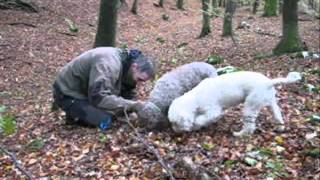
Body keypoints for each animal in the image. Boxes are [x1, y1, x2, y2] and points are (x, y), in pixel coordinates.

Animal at [169, 71, 302, 136]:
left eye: (175, 123)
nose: (175, 131)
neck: (195, 97)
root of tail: (268, 82)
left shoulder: (213, 110)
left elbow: (201, 119)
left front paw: (196, 125)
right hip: (270, 102)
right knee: (278, 115)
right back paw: (280, 128)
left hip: (250, 106)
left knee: (249, 127)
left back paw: (239, 134)